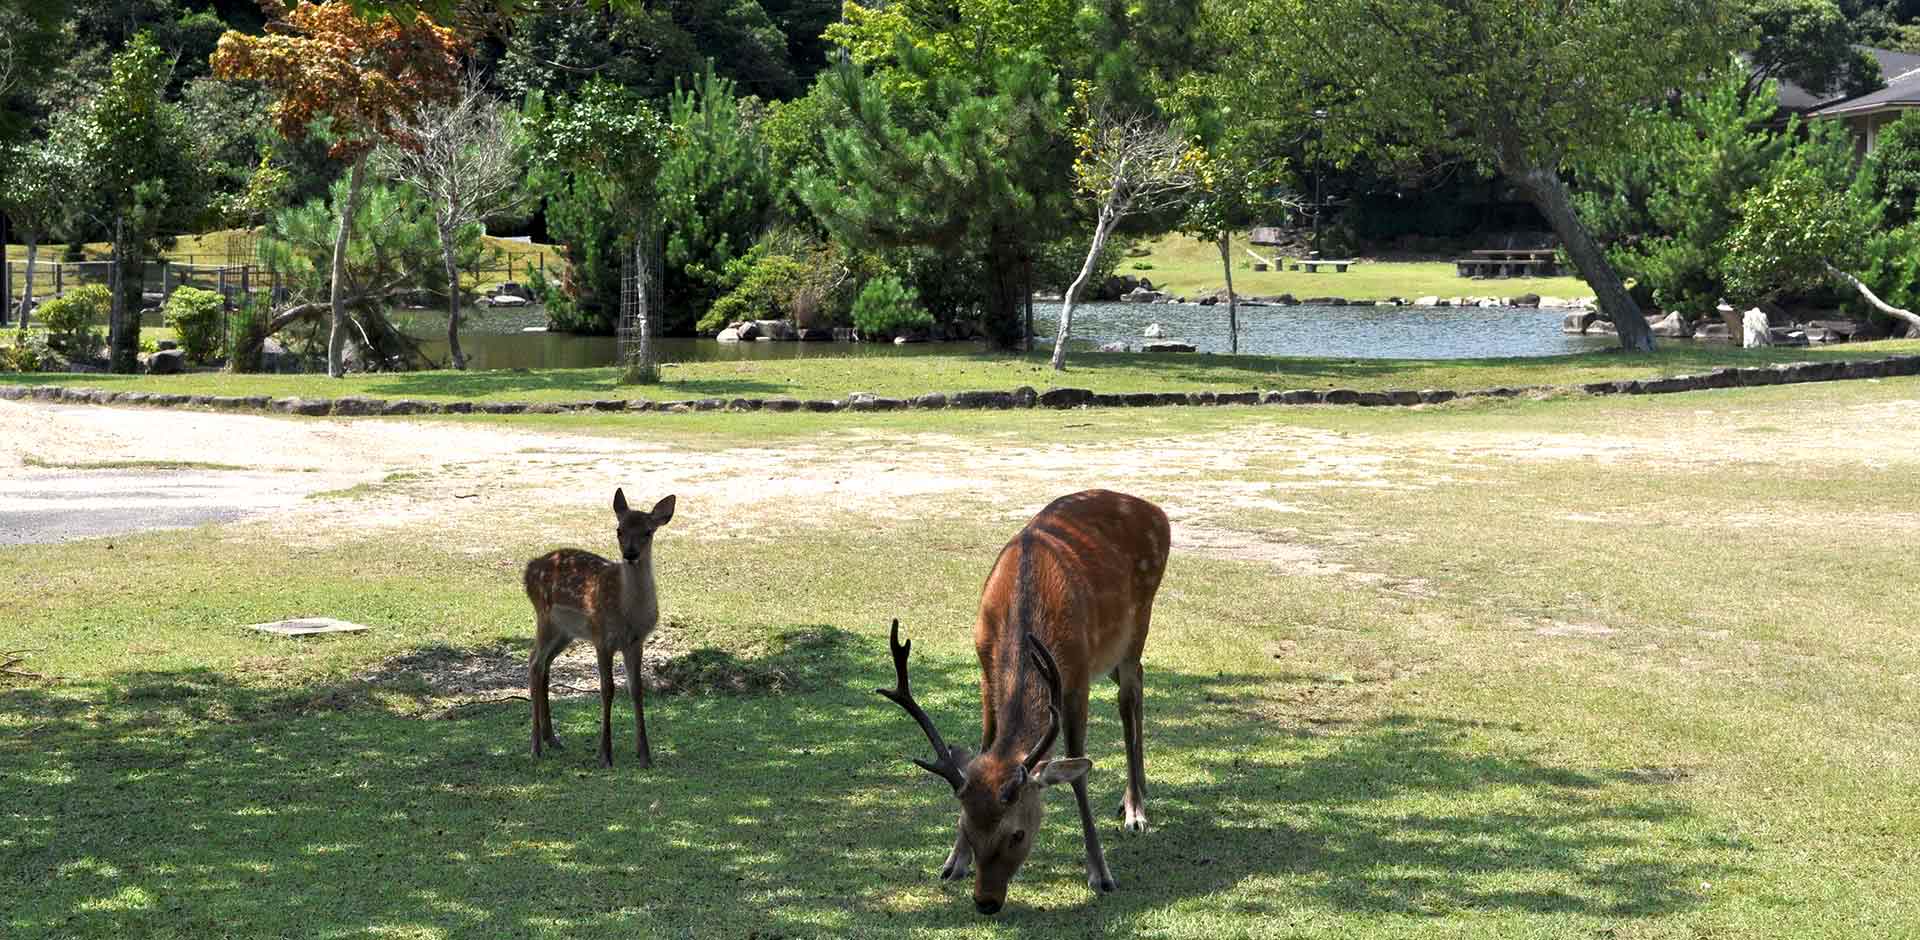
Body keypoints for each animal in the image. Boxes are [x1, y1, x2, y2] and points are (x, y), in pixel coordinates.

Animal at [526, 489, 675, 767]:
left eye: (648, 531)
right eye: (619, 530)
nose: (630, 554)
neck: (627, 612)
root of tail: (528, 569)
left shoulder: (636, 641)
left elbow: (636, 689)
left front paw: (645, 755)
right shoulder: (602, 637)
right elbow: (608, 690)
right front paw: (605, 754)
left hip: (566, 631)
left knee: (545, 664)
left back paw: (552, 739)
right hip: (545, 618)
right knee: (534, 663)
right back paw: (536, 746)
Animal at [875, 489, 1167, 913]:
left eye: (1018, 834)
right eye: (966, 824)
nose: (985, 901)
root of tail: (1155, 509)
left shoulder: (1076, 680)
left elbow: (1078, 770)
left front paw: (1101, 873)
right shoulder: (984, 667)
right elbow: (984, 746)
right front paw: (952, 862)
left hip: (1137, 625)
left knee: (1128, 698)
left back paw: (1135, 811)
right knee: (1139, 683)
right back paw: (1138, 793)